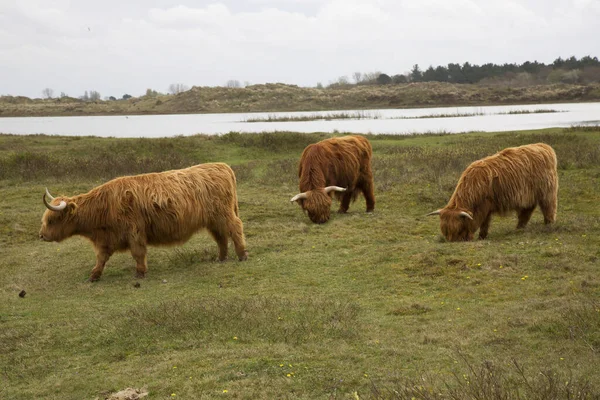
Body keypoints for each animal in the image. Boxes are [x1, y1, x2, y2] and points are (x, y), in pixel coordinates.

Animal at [39, 162, 247, 282]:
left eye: (53, 219)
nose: (41, 235)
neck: (103, 207)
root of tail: (222, 166)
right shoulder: (106, 239)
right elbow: (101, 258)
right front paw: (94, 275)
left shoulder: (134, 232)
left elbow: (138, 253)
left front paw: (140, 273)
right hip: (213, 220)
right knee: (221, 237)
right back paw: (221, 258)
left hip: (224, 214)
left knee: (235, 229)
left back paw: (242, 255)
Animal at [426, 142, 556, 241]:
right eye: (445, 231)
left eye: (459, 229)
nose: (454, 241)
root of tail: (544, 146)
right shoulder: (486, 207)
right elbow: (485, 222)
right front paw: (482, 236)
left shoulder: (484, 205)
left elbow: (483, 222)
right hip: (528, 197)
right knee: (526, 212)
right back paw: (519, 229)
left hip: (547, 192)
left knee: (548, 208)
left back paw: (548, 225)